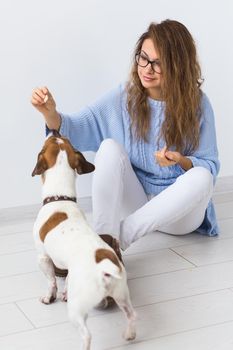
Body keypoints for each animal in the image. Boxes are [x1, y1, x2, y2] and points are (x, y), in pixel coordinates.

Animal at [31, 132, 137, 350]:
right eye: (64, 139)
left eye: (49, 141)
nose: (54, 131)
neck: (60, 197)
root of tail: (104, 269)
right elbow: (66, 281)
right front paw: (64, 293)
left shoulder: (43, 258)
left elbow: (51, 281)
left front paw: (49, 297)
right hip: (122, 295)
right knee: (131, 315)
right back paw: (129, 334)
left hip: (77, 310)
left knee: (87, 334)